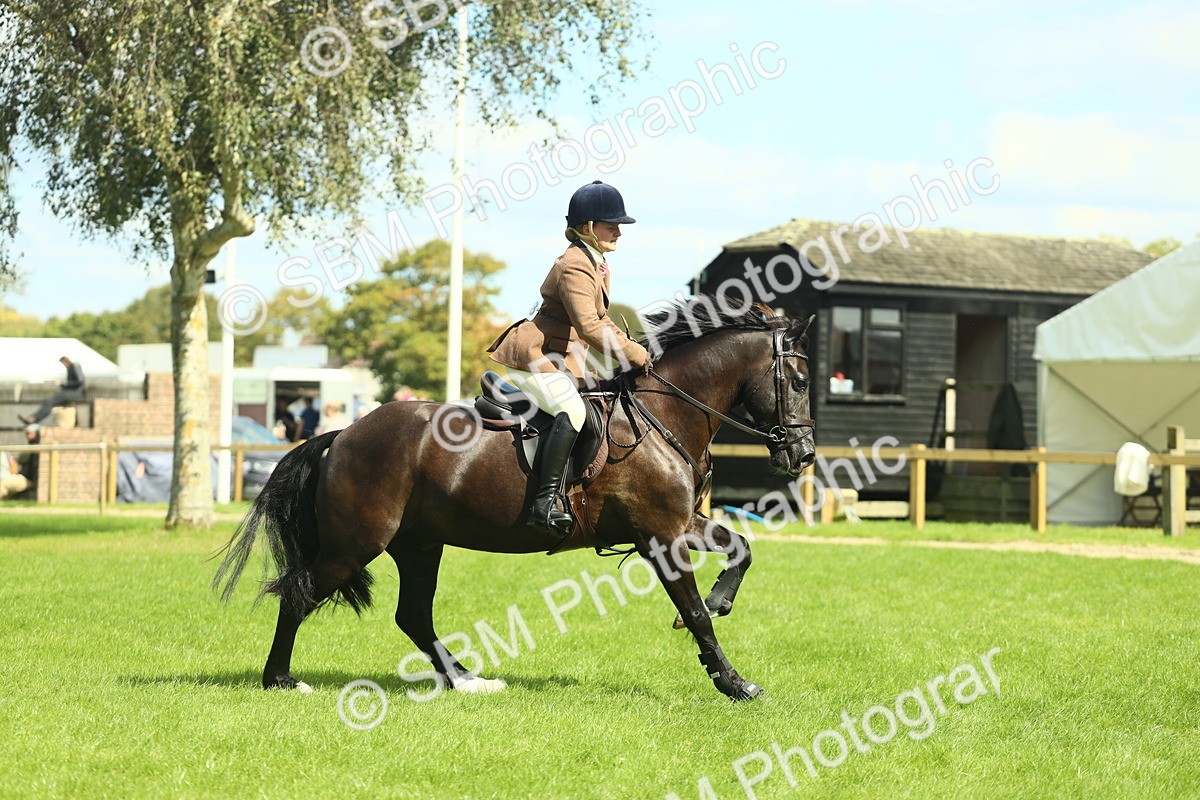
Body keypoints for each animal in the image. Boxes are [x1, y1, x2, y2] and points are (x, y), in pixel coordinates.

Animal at [213, 299, 816, 701]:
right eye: (802, 381)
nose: (804, 455)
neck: (661, 416)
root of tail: (343, 435)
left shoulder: (682, 522)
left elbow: (741, 549)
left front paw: (722, 600)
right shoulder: (660, 535)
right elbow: (694, 614)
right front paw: (733, 682)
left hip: (418, 544)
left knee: (413, 615)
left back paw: (465, 680)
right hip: (357, 543)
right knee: (299, 594)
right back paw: (281, 680)